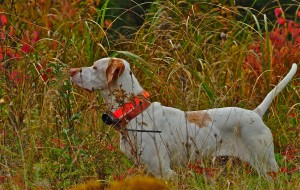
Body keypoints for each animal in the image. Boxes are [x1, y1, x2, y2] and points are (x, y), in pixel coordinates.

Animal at [70, 57, 298, 179]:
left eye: (95, 67)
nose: (71, 70)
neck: (134, 112)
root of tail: (255, 113)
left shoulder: (164, 171)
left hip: (267, 164)